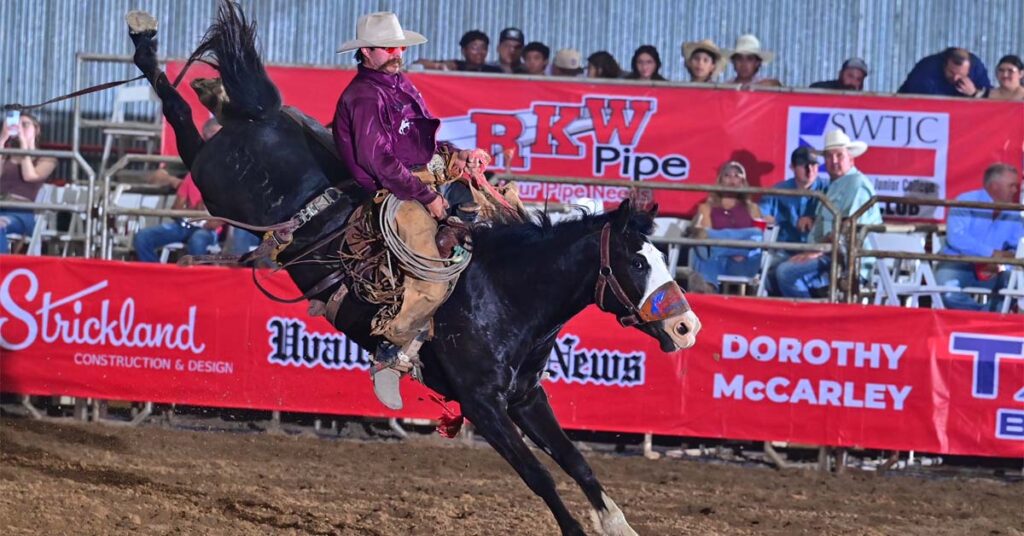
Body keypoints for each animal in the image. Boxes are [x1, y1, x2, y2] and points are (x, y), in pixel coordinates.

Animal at [127, 3, 701, 534]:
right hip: (214, 175)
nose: (686, 326)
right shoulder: (484, 406)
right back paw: (148, 45)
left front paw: (617, 523)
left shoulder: (527, 397)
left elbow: (577, 461)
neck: (508, 295)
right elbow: (540, 475)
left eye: (661, 257)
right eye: (635, 260)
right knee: (180, 116)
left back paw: (203, 83)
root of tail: (265, 118)